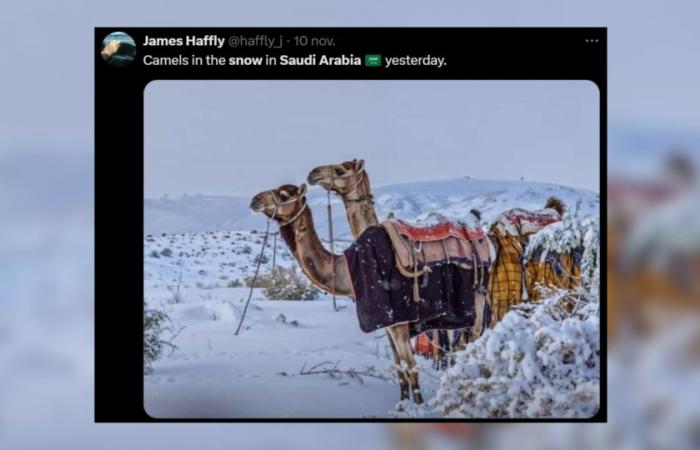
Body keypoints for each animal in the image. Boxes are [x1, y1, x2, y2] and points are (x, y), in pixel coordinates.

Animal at [252, 185, 426, 402]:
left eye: (283, 195)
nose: (255, 199)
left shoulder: (400, 321)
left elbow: (411, 369)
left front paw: (418, 408)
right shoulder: (389, 321)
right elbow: (399, 368)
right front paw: (402, 405)